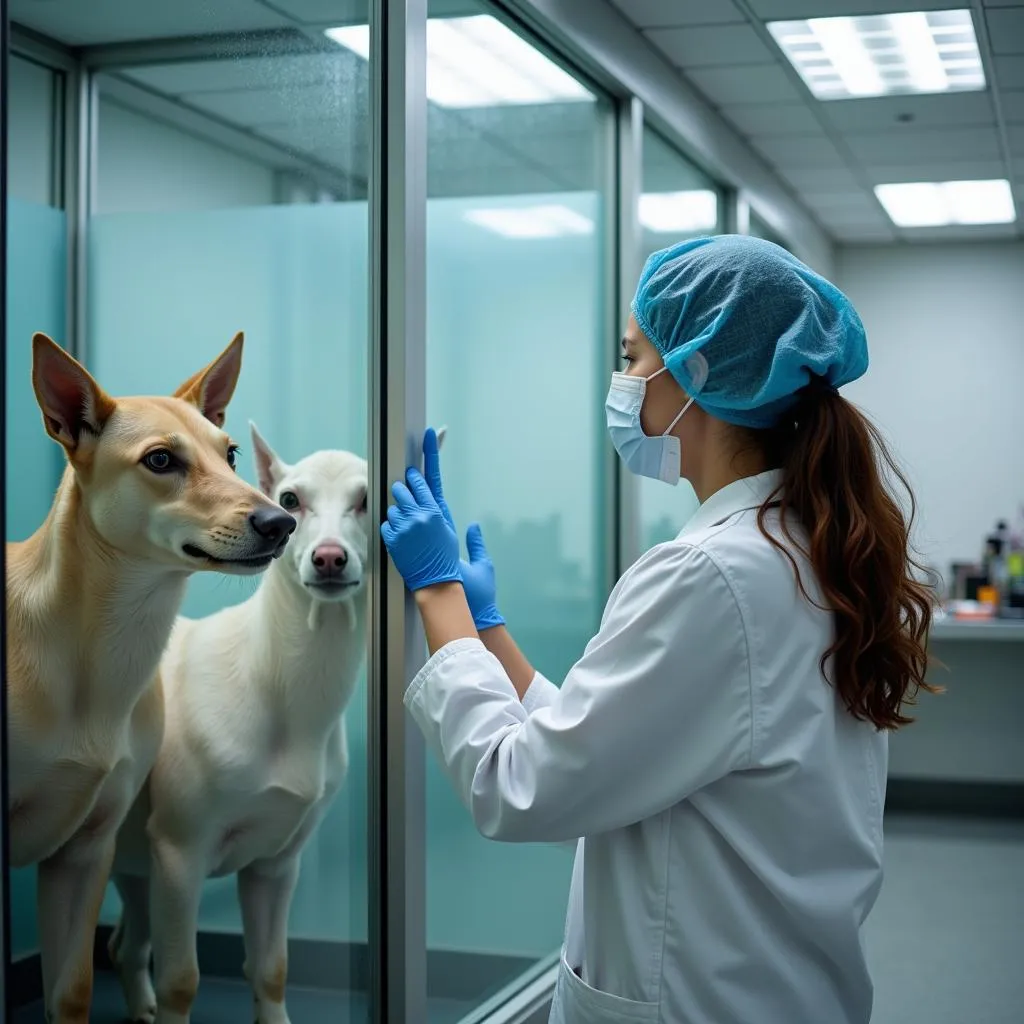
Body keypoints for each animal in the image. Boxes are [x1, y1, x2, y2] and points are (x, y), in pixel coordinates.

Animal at [7, 331, 296, 1019]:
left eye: (230, 452)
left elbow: (72, 993)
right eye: (161, 460)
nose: (281, 522)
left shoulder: (86, 849)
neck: (91, 658)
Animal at [113, 419, 432, 1019]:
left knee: (124, 944)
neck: (276, 692)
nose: (328, 559)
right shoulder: (177, 849)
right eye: (289, 500)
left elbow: (271, 968)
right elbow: (180, 980)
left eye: (369, 498)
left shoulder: (277, 860)